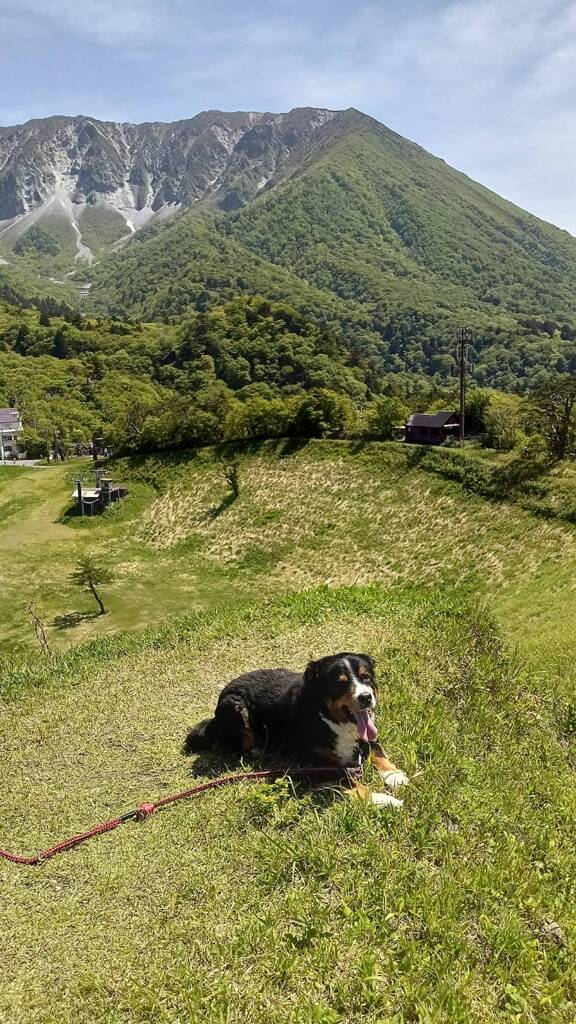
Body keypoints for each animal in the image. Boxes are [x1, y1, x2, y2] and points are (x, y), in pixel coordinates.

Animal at [181, 655, 405, 806]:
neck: (328, 720)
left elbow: (376, 749)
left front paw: (394, 775)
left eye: (365, 677)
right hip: (236, 709)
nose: (366, 697)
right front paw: (383, 799)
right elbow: (347, 781)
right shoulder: (315, 766)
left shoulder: (366, 735)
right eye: (340, 684)